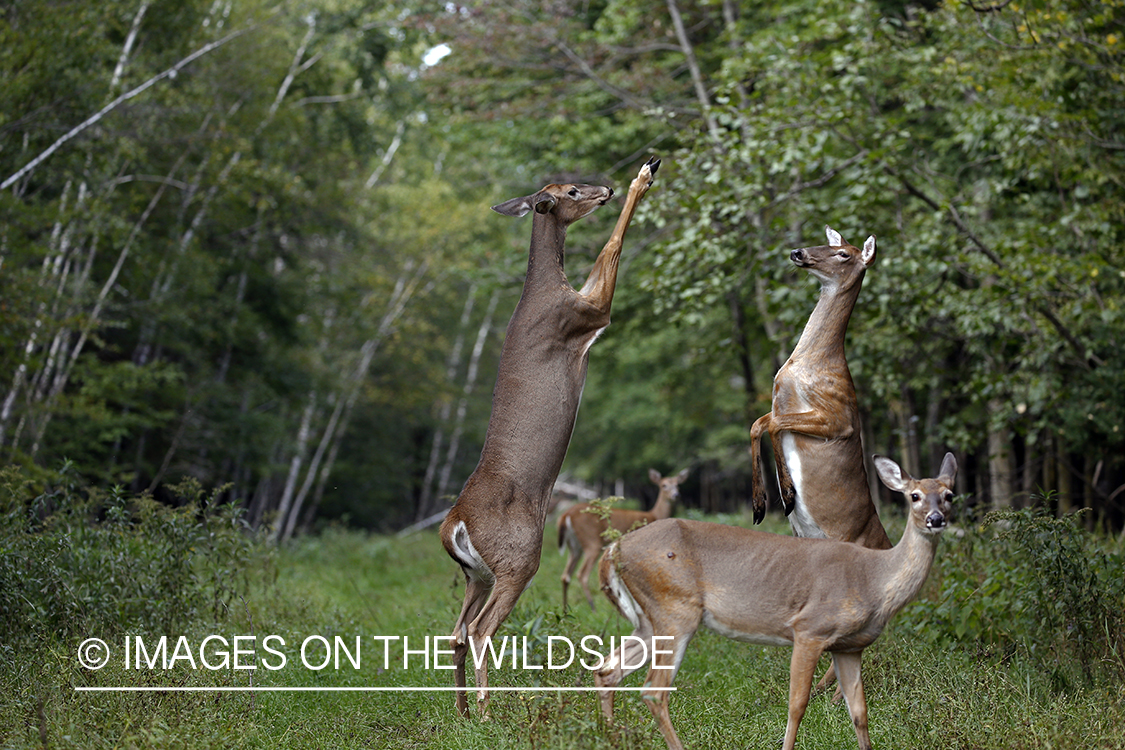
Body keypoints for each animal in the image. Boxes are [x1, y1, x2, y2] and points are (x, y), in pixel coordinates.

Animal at [438, 155, 657, 719]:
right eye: (572, 191)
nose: (603, 189)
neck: (543, 291)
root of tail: (455, 524)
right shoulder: (586, 313)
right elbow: (611, 249)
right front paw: (642, 176)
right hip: (519, 557)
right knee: (479, 630)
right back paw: (487, 714)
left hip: (478, 573)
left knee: (455, 632)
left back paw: (463, 713)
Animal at [558, 470, 688, 611]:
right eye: (664, 485)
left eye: (677, 484)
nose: (676, 495)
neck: (654, 515)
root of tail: (566, 515)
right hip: (592, 541)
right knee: (582, 575)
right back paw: (593, 609)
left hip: (575, 546)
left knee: (566, 575)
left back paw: (565, 610)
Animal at [598, 452, 958, 750]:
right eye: (914, 495)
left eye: (949, 495)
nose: (936, 519)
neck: (874, 580)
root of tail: (615, 548)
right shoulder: (810, 628)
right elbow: (797, 705)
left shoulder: (849, 646)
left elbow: (859, 712)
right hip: (675, 609)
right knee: (653, 690)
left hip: (650, 618)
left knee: (608, 669)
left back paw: (610, 735)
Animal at [751, 222, 891, 550]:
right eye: (827, 244)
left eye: (843, 254)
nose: (798, 252)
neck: (806, 362)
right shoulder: (780, 402)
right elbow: (757, 424)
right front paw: (759, 504)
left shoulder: (838, 418)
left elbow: (774, 425)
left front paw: (788, 495)